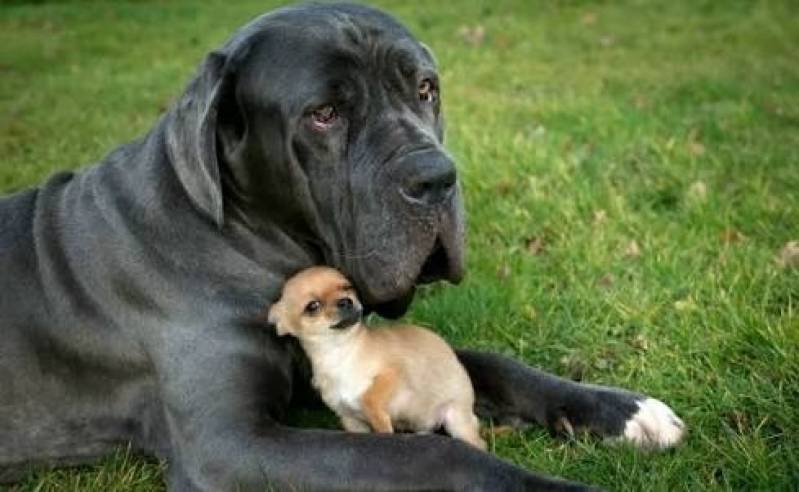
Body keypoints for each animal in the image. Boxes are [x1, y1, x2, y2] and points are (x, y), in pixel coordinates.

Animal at [268, 268, 488, 452]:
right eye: (312, 306)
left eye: (347, 287)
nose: (346, 301)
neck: (340, 353)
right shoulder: (350, 420)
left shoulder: (393, 374)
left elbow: (370, 397)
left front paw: (379, 420)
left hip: (457, 420)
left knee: (479, 443)